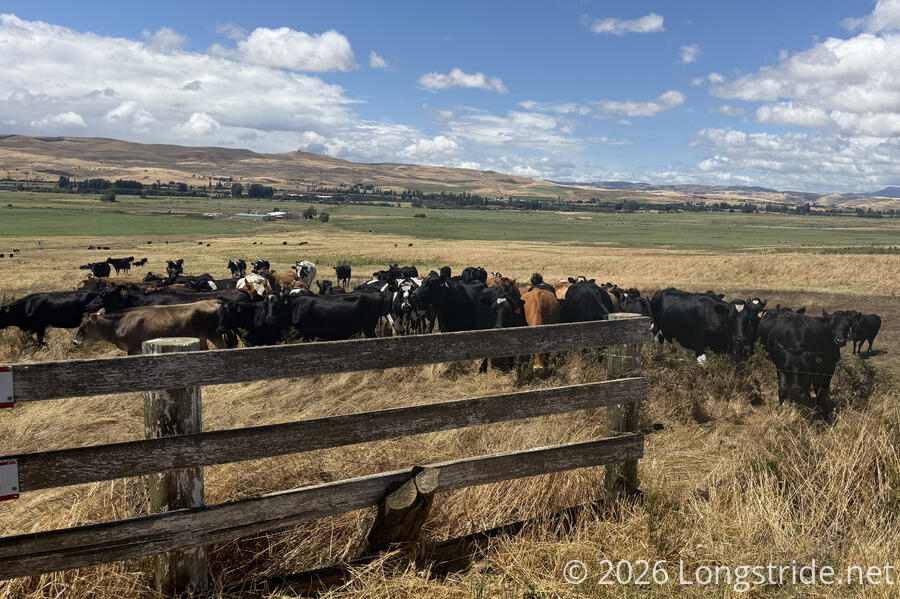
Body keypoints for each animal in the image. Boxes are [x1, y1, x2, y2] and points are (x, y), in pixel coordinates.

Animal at [74, 300, 232, 355]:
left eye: (84, 325)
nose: (75, 342)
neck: (119, 324)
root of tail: (216, 301)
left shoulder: (133, 349)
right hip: (202, 337)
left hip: (215, 335)